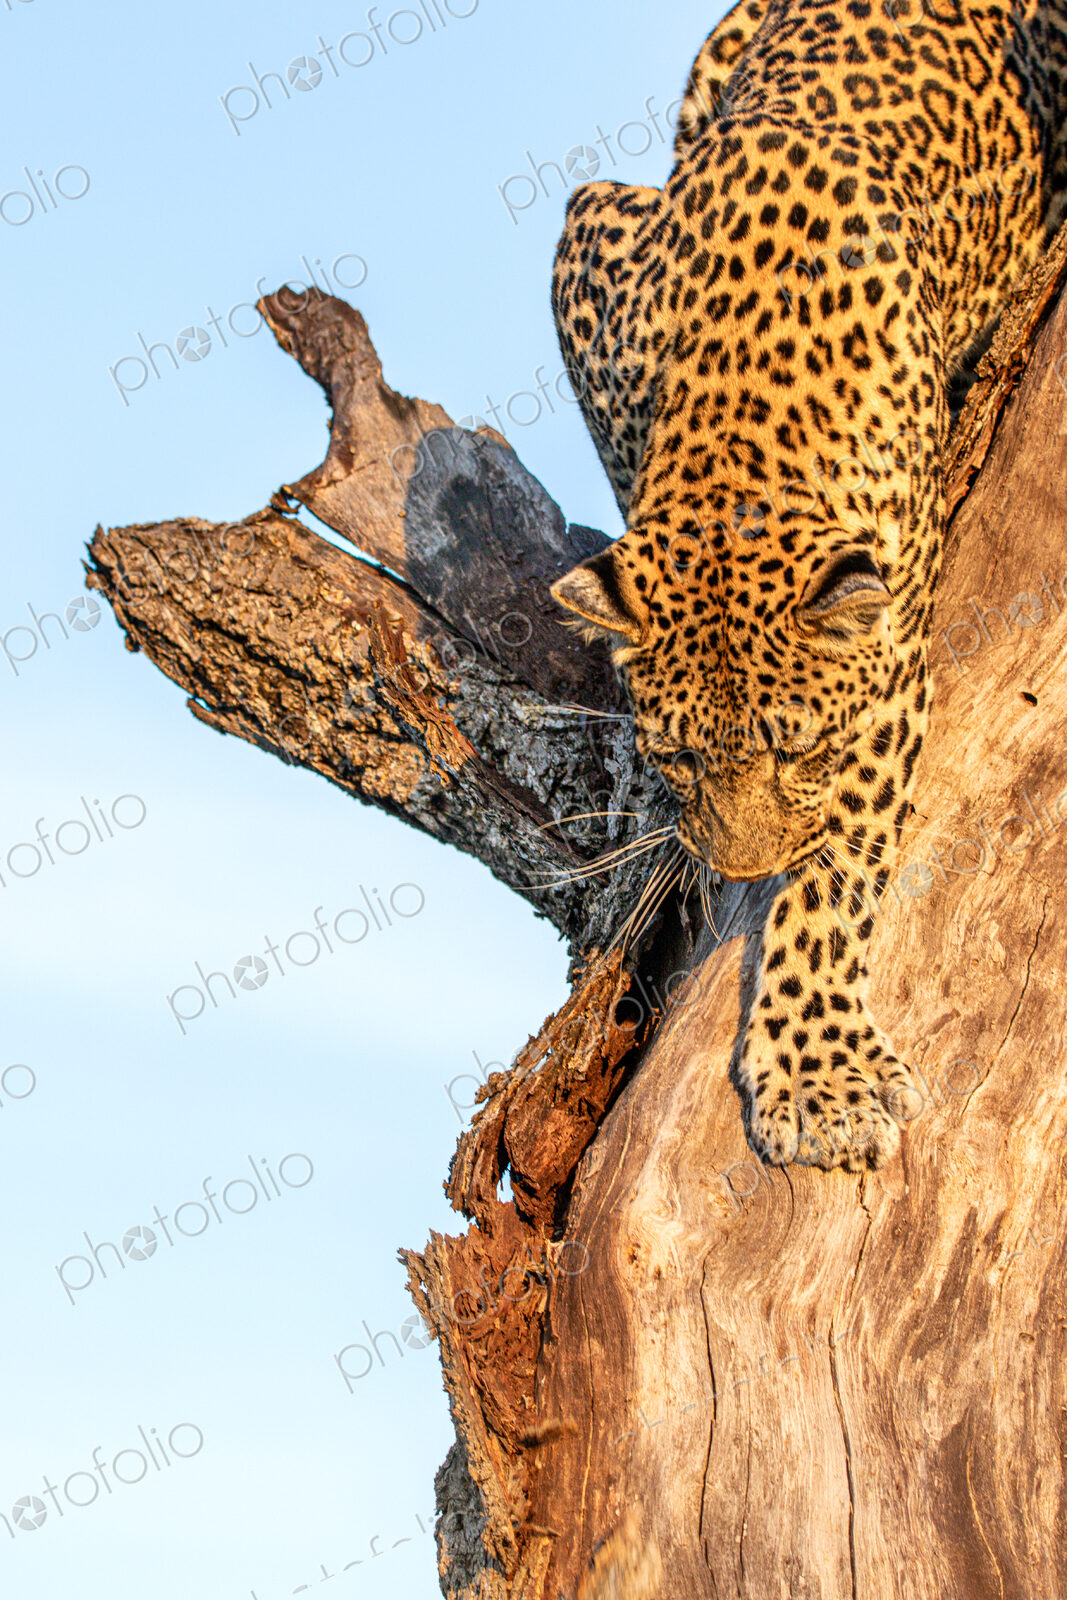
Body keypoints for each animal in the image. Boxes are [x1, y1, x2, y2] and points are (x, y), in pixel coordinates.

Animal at [549, 0, 1067, 1170]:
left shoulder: (890, 658)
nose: (747, 866)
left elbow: (843, 857)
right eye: (680, 753)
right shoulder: (587, 232)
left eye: (800, 749)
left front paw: (818, 1076)